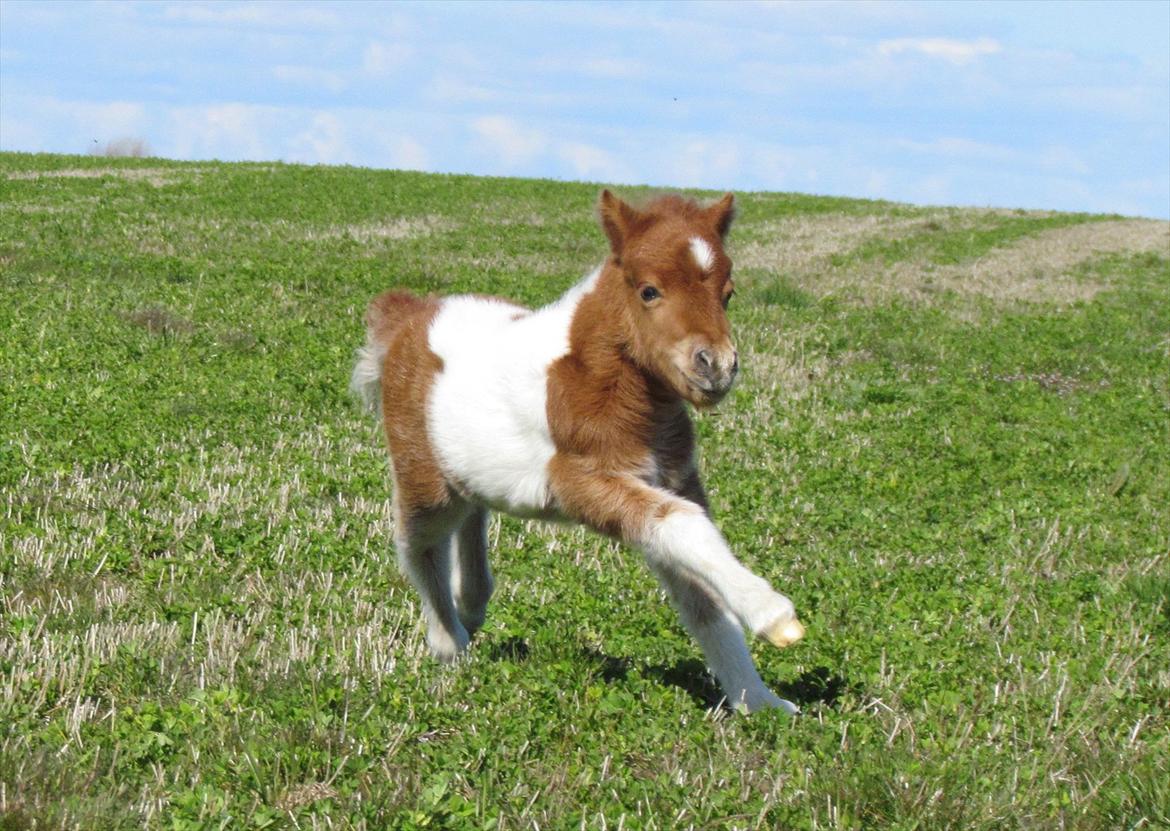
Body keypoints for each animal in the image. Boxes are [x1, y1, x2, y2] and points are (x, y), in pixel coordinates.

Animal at [348, 190, 804, 716]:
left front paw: (762, 703)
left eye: (728, 293)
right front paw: (774, 616)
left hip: (472, 470)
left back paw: (473, 604)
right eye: (649, 291)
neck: (599, 380)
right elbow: (686, 527)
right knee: (420, 543)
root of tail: (410, 315)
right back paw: (449, 642)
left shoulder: (672, 480)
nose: (716, 367)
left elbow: (704, 597)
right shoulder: (577, 481)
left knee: (471, 516)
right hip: (424, 476)